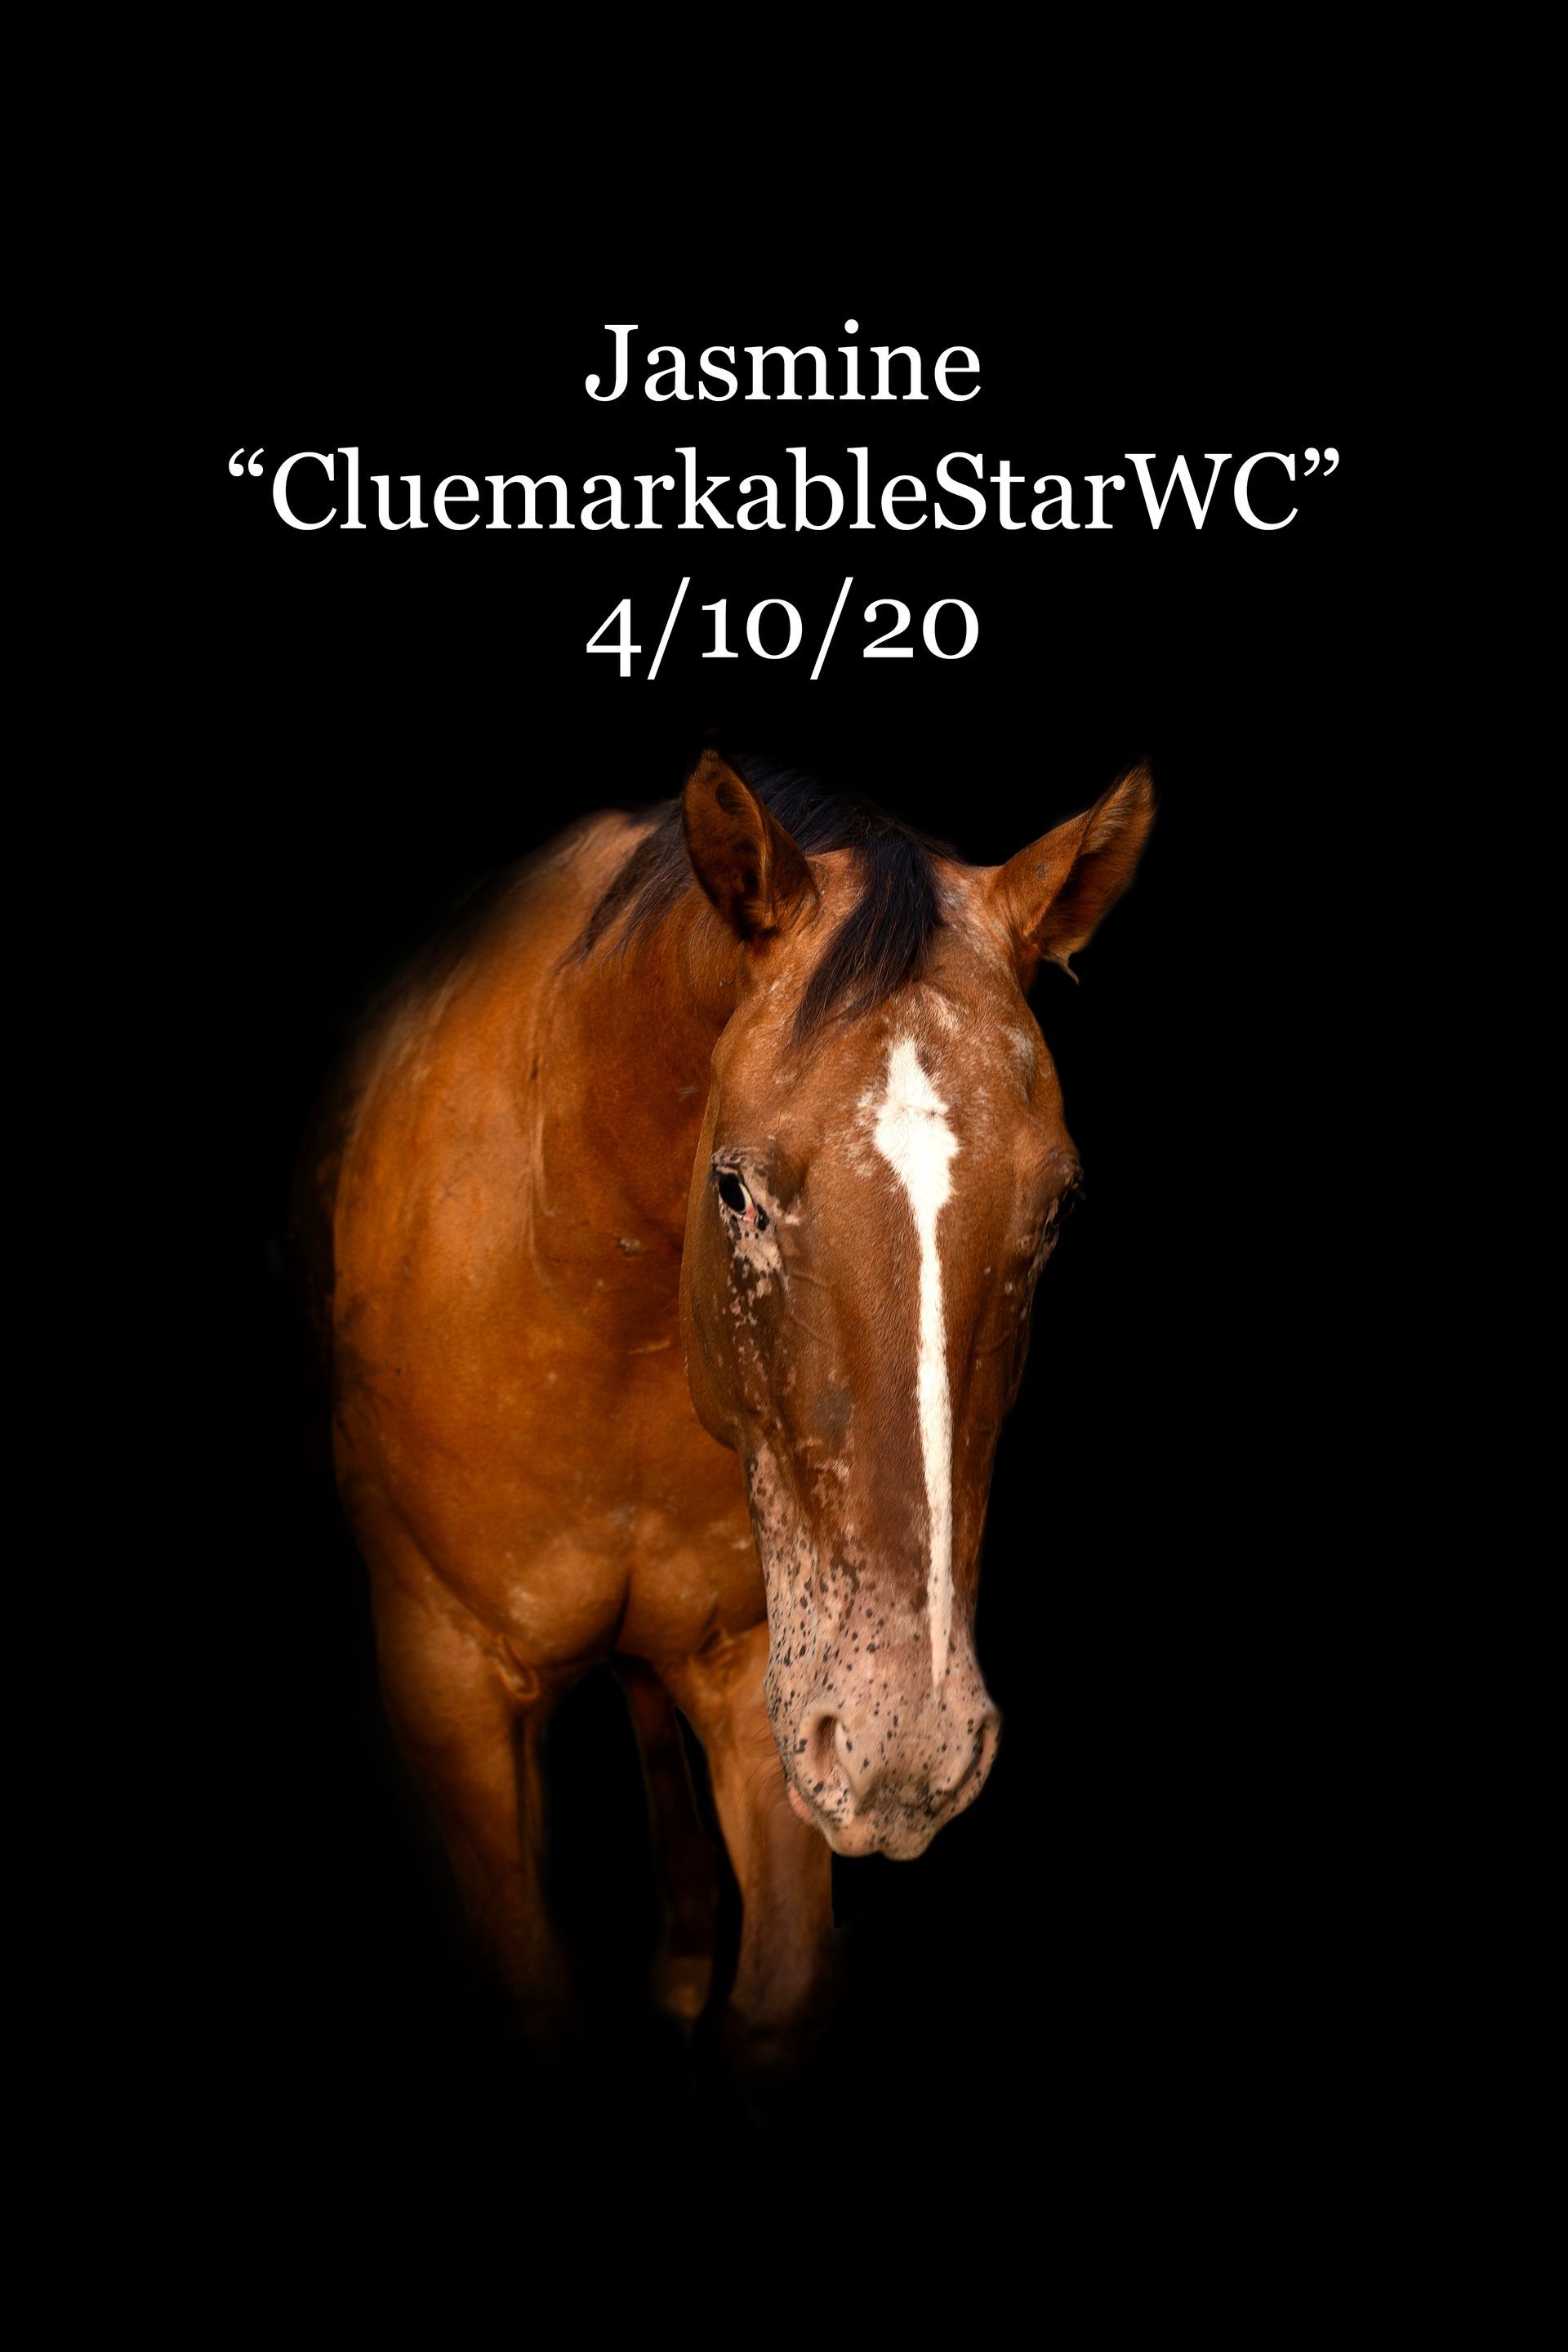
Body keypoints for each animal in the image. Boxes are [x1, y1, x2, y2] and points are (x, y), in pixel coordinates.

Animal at [302, 747, 1154, 2057]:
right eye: (736, 1189)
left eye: (1056, 1207)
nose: (909, 1745)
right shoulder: (449, 1686)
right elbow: (534, 1995)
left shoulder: (765, 1682)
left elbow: (780, 1991)